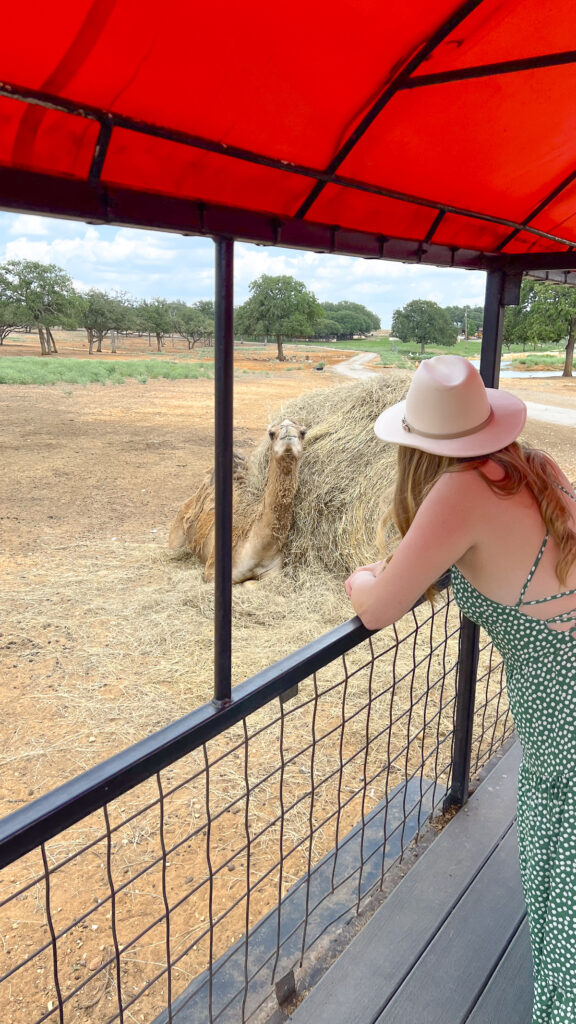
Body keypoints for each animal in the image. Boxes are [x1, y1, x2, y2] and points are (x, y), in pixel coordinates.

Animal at [168, 417, 307, 585]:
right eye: (271, 433)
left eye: (303, 432)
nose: (287, 430)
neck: (259, 547)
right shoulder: (211, 572)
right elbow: (246, 584)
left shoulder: (274, 574)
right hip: (176, 535)